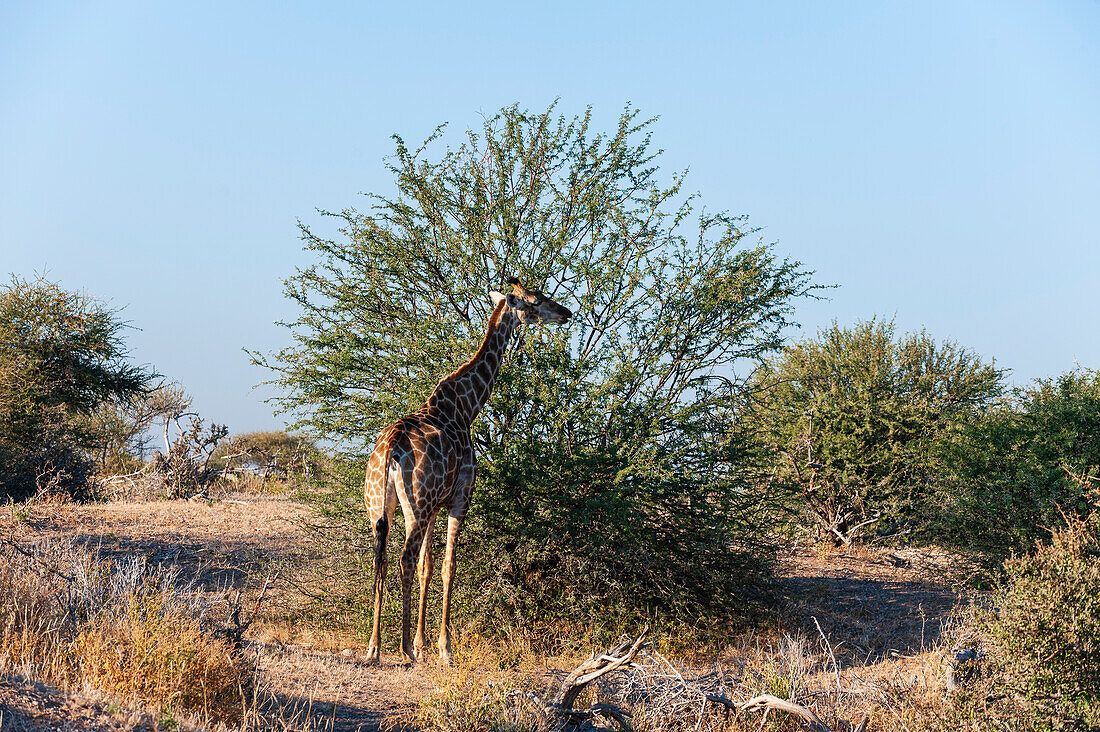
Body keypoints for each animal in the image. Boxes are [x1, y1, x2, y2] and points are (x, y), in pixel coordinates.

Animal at [360, 277, 572, 664]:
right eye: (536, 300)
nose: (565, 313)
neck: (466, 405)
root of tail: (392, 448)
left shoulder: (433, 506)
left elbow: (429, 567)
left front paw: (423, 644)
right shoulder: (460, 498)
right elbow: (448, 567)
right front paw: (442, 649)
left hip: (381, 507)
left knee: (380, 560)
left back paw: (374, 647)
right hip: (416, 506)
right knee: (404, 560)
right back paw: (402, 650)